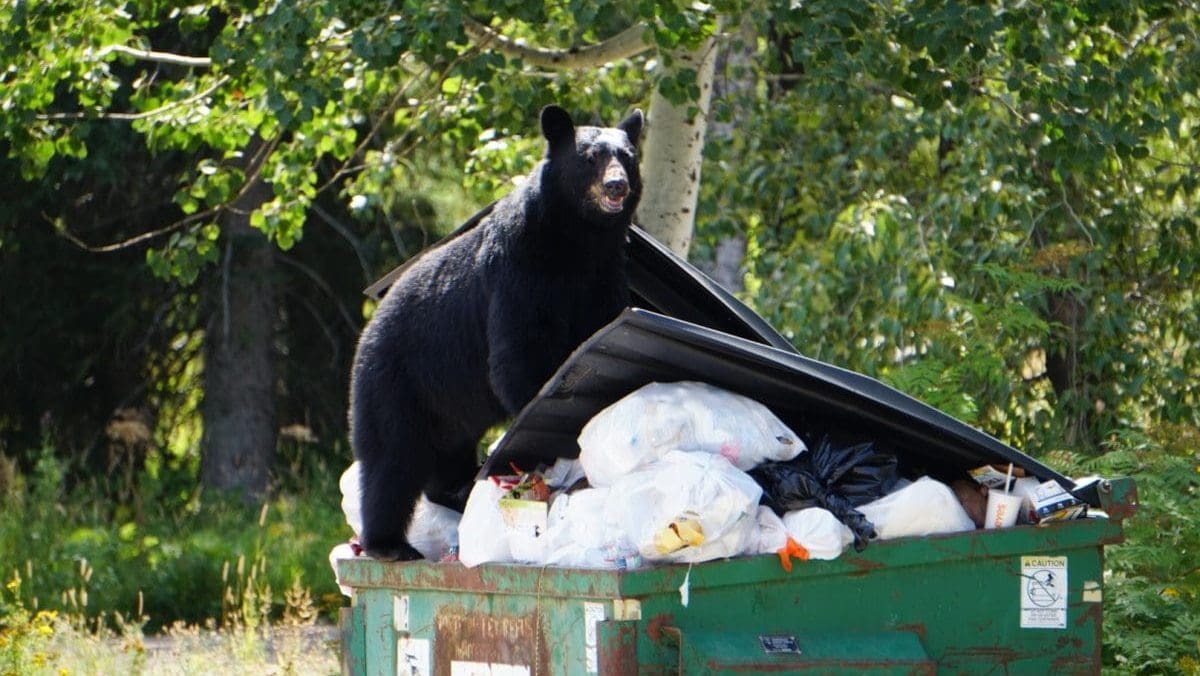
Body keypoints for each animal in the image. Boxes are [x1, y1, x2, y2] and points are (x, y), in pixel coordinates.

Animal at [349, 105, 644, 560]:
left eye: (627, 156)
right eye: (590, 157)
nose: (617, 184)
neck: (577, 242)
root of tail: (369, 325)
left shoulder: (604, 275)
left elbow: (601, 327)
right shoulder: (520, 271)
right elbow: (519, 353)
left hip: (446, 401)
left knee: (445, 451)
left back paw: (458, 490)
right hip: (398, 380)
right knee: (392, 457)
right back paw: (389, 543)